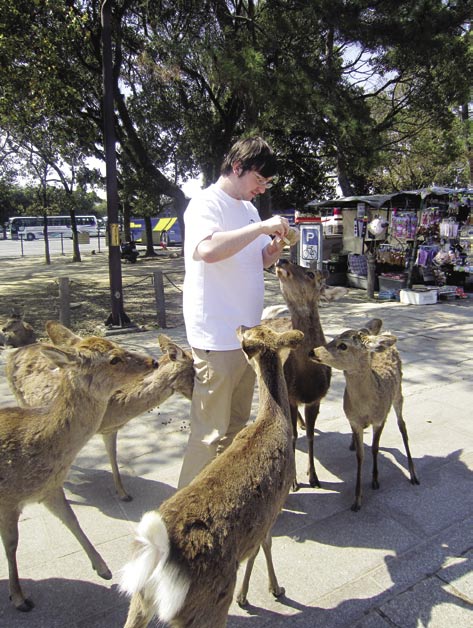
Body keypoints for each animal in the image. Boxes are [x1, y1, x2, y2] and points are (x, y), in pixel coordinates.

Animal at [0, 326, 159, 612]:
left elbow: (71, 519)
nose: (153, 361)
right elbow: (11, 543)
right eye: (114, 359)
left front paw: (104, 568)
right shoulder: (7, 499)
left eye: (117, 345)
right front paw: (19, 598)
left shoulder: (49, 489)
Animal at [5, 324, 194, 500]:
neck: (116, 410)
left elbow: (113, 457)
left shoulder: (110, 430)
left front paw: (123, 494)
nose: (154, 362)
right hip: (20, 398)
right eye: (194, 371)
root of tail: (11, 355)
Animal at [118, 324, 302, 628]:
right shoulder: (274, 504)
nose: (238, 326)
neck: (274, 421)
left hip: (139, 600)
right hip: (209, 603)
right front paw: (269, 590)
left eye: (253, 330)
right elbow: (263, 545)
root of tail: (159, 555)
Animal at [266, 258, 346, 490]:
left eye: (311, 274)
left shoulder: (316, 398)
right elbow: (292, 435)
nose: (282, 260)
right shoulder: (292, 395)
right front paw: (294, 481)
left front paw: (314, 477)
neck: (307, 376)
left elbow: (311, 435)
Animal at [308, 318, 418, 510]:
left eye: (343, 345)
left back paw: (413, 474)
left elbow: (374, 448)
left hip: (398, 393)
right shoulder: (353, 421)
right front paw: (357, 499)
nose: (312, 351)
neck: (365, 408)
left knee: (402, 425)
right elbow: (360, 456)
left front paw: (375, 480)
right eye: (333, 338)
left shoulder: (380, 418)